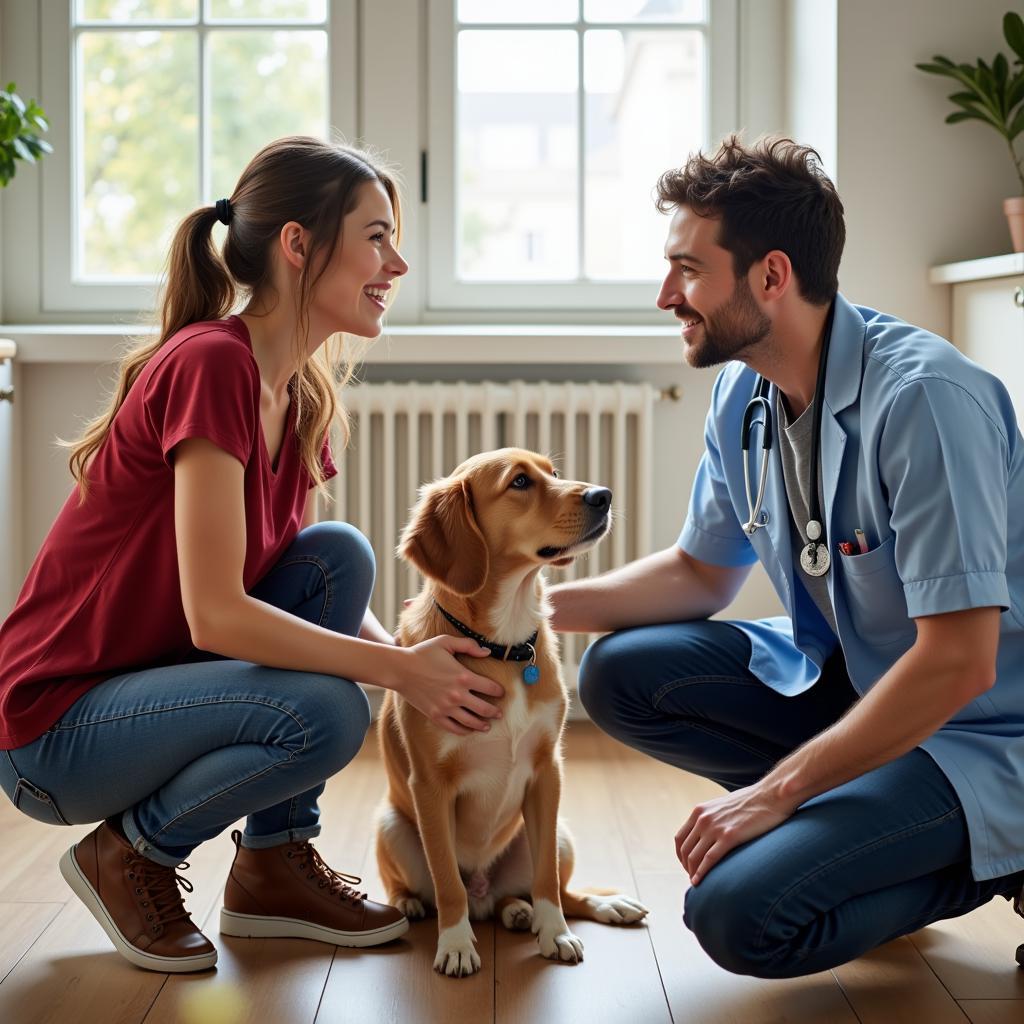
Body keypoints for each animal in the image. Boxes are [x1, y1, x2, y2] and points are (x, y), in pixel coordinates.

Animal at [374, 448, 647, 974]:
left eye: (554, 473)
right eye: (519, 482)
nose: (602, 496)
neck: (504, 646)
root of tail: (487, 893)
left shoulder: (547, 773)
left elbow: (546, 882)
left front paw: (554, 932)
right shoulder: (430, 787)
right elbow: (448, 881)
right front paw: (456, 945)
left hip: (560, 834)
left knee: (554, 889)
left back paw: (571, 907)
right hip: (391, 826)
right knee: (427, 888)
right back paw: (410, 905)